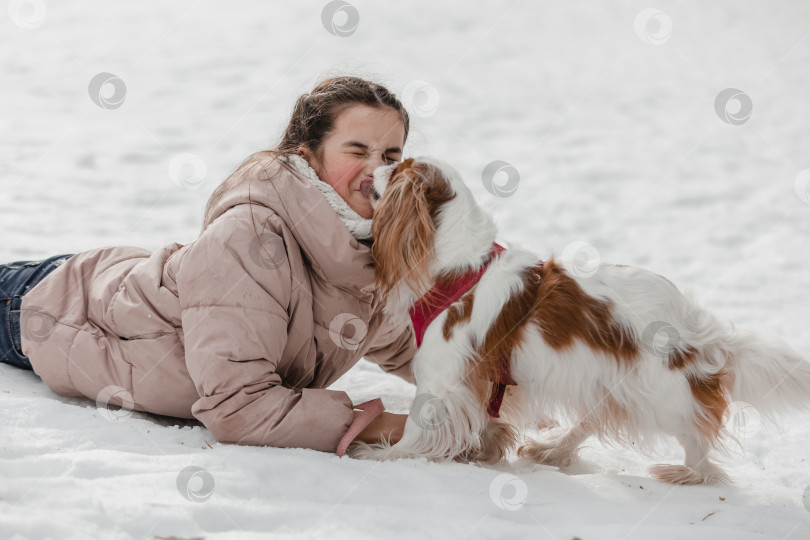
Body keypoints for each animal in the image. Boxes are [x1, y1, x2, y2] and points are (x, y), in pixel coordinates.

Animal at [348, 156, 808, 486]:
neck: (462, 269)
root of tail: (700, 333)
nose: (381, 165)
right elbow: (486, 419)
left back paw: (684, 473)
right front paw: (486, 447)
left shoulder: (442, 380)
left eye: (398, 167)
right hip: (609, 384)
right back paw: (554, 450)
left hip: (664, 398)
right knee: (592, 422)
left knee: (702, 449)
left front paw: (384, 455)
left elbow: (416, 429)